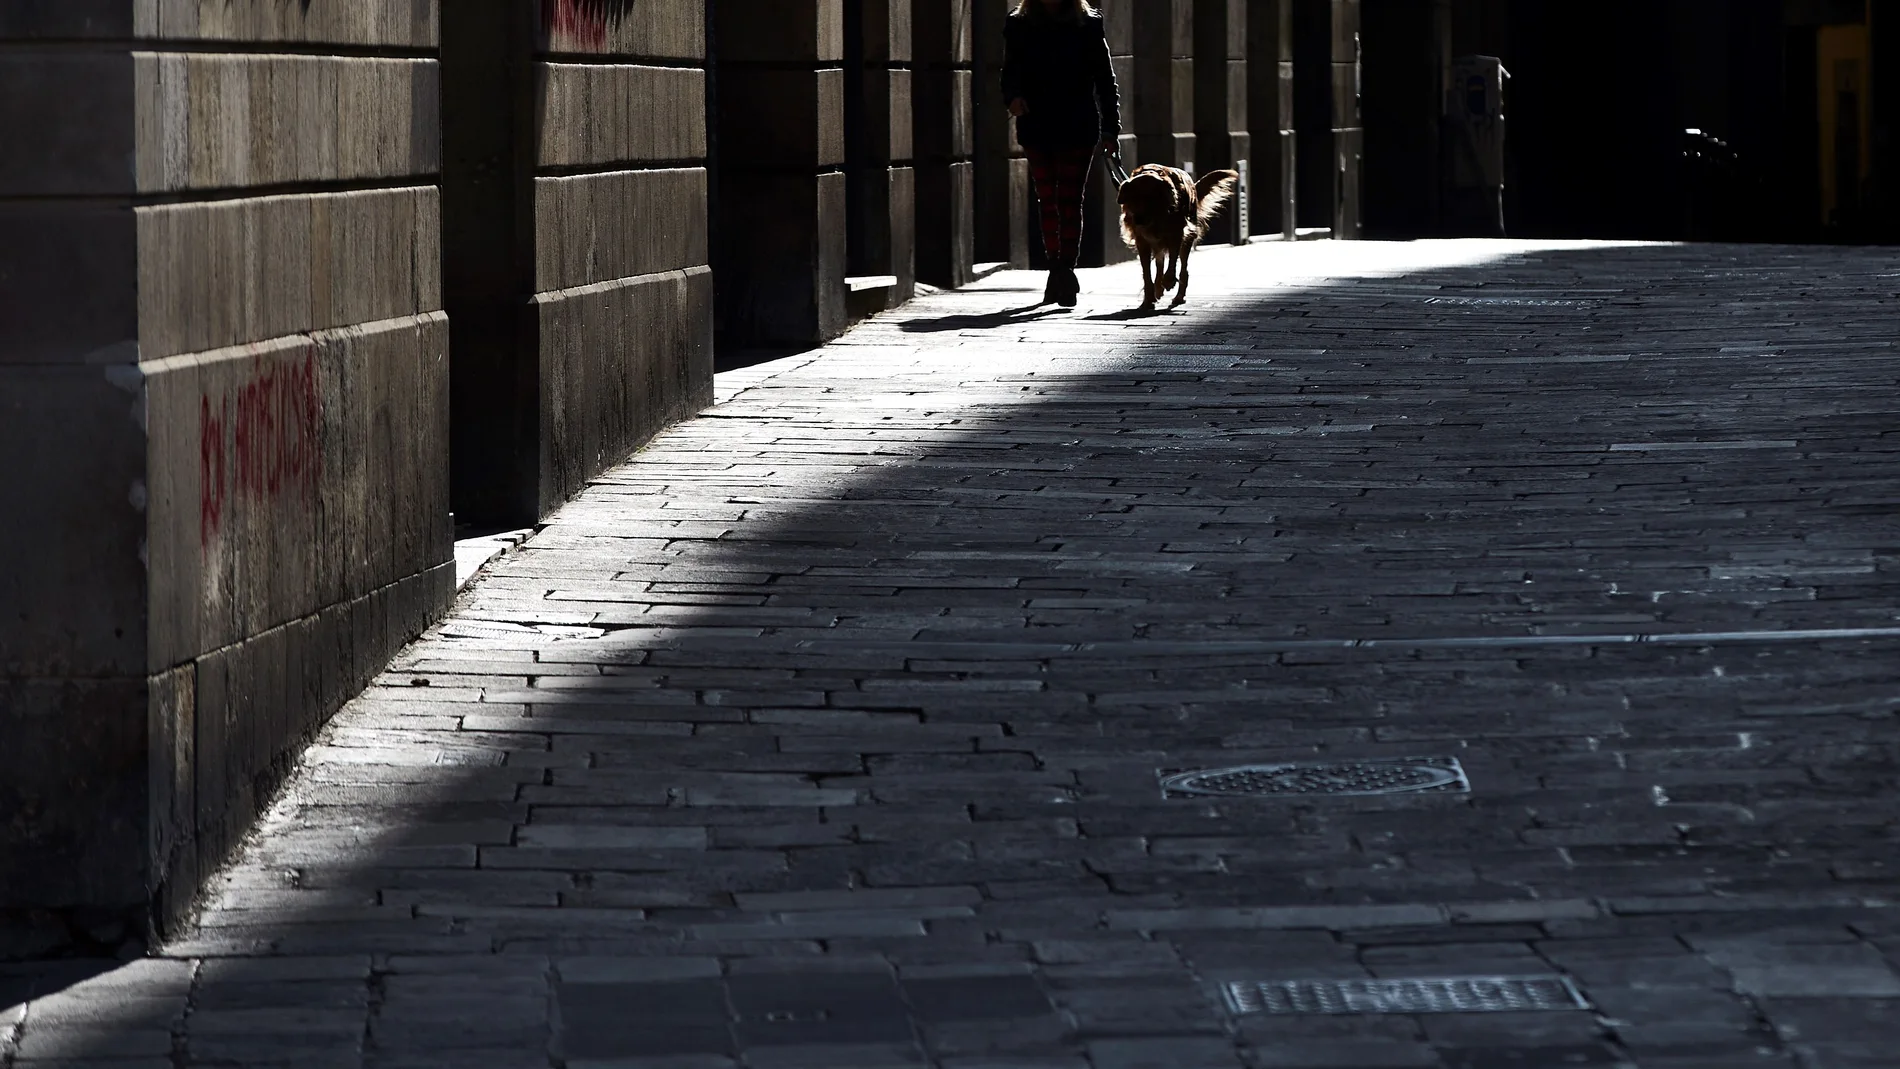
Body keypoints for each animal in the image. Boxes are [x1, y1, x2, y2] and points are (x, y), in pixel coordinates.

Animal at [1109, 164, 1246, 309]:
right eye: (1133, 198)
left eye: (1150, 199)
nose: (1138, 220)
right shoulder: (1142, 241)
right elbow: (1147, 274)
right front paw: (1148, 299)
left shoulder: (1176, 235)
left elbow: (1172, 262)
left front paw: (1168, 281)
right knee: (1159, 266)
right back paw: (1158, 289)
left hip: (1187, 239)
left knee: (1183, 270)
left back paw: (1178, 296)